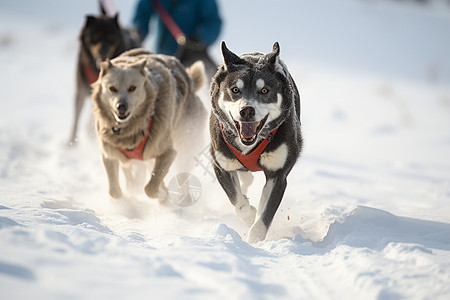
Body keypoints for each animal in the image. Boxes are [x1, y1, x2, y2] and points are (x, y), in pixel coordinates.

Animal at [67, 9, 139, 145]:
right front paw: (71, 142)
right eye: (95, 37)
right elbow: (76, 119)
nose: (103, 50)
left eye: (112, 38)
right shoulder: (81, 91)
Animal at [92, 48, 207, 202]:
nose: (121, 106)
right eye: (112, 88)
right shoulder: (109, 154)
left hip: (186, 143)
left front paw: (161, 193)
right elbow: (115, 191)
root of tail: (190, 80)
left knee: (182, 176)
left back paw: (183, 197)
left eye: (132, 88)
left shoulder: (168, 153)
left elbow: (150, 188)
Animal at [210, 42, 302, 243]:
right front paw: (250, 213)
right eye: (235, 90)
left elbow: (263, 218)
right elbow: (238, 202)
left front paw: (254, 241)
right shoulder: (221, 166)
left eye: (264, 90)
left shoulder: (277, 175)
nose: (247, 110)